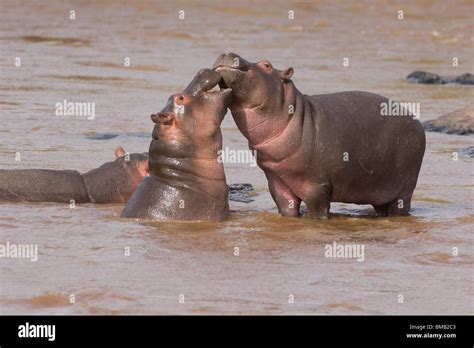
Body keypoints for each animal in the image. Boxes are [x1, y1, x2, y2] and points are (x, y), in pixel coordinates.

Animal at [215, 52, 426, 218]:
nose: (227, 52)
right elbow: (287, 208)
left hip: (404, 189)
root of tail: (417, 121)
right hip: (379, 190)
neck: (291, 114)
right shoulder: (277, 181)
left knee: (400, 206)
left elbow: (318, 212)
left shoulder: (316, 185)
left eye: (267, 65)